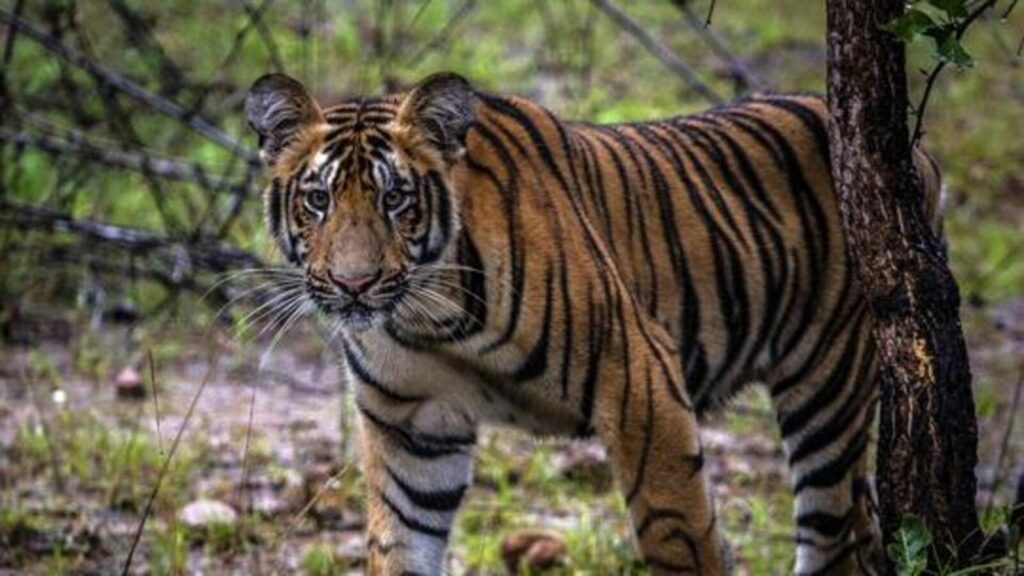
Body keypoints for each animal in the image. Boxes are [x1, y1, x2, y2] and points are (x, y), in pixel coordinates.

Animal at [244, 71, 944, 575]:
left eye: (395, 199)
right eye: (318, 200)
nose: (354, 284)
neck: (425, 318)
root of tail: (915, 155)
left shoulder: (639, 375)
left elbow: (675, 527)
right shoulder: (410, 427)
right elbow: (400, 543)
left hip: (827, 387)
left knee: (836, 542)